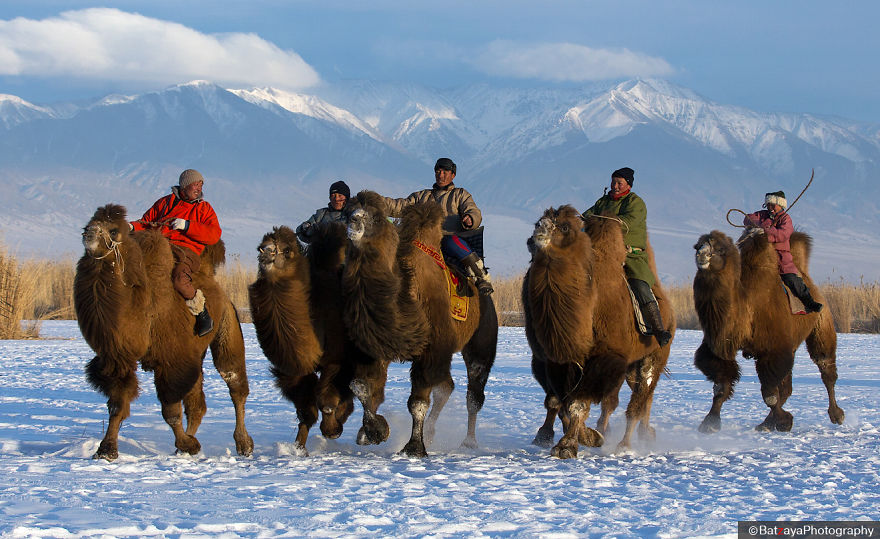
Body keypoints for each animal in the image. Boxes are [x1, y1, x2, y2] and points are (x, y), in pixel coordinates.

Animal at [75, 204, 253, 460]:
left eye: (113, 230)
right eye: (87, 224)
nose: (89, 232)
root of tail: (221, 292)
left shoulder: (172, 359)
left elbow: (170, 409)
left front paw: (187, 444)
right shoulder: (119, 358)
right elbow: (117, 403)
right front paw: (106, 449)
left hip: (227, 325)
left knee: (233, 381)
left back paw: (244, 444)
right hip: (195, 352)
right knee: (197, 404)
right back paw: (190, 441)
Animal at [248, 224, 359, 455]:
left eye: (287, 250)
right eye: (260, 245)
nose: (265, 252)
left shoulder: (337, 359)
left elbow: (327, 400)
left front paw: (332, 429)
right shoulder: (294, 371)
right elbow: (306, 408)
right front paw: (299, 448)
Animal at [342, 191, 499, 457]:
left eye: (376, 217)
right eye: (348, 211)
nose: (354, 222)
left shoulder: (431, 350)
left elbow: (417, 403)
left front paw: (414, 448)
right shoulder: (379, 346)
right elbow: (360, 385)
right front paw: (373, 431)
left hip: (482, 340)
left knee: (473, 394)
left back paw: (469, 441)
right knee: (446, 386)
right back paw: (434, 434)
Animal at [523, 205, 674, 459]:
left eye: (565, 227)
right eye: (537, 221)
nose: (537, 233)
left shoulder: (604, 358)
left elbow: (577, 404)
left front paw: (569, 445)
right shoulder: (554, 360)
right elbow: (559, 402)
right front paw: (569, 436)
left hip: (655, 354)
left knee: (639, 398)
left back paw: (625, 444)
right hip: (630, 366)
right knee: (635, 398)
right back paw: (639, 433)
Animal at [692, 229, 844, 433]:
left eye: (720, 249)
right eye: (697, 245)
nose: (701, 255)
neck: (747, 306)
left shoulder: (773, 350)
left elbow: (770, 394)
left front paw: (783, 421)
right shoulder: (721, 346)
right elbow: (721, 386)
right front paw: (710, 422)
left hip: (822, 322)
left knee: (825, 366)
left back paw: (837, 414)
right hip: (792, 343)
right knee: (787, 387)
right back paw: (767, 422)